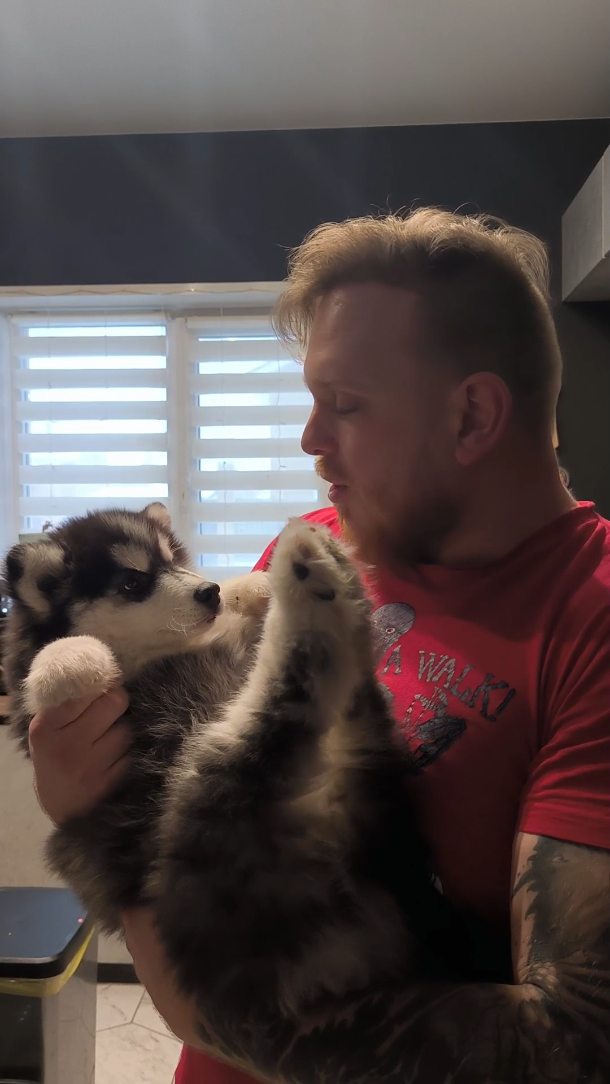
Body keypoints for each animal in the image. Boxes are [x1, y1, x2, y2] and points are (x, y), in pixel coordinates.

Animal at [3, 504, 474, 1022]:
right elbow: (42, 669)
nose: (205, 591)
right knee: (285, 698)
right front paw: (73, 657)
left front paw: (245, 586)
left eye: (174, 559)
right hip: (209, 787)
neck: (154, 656)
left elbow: (232, 612)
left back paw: (321, 573)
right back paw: (315, 574)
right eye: (131, 582)